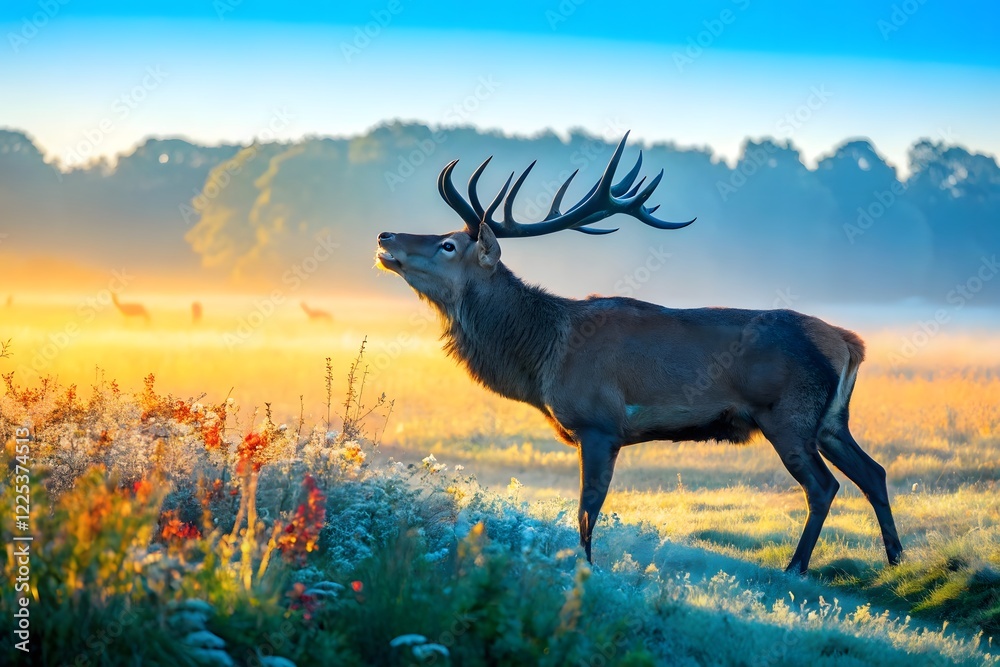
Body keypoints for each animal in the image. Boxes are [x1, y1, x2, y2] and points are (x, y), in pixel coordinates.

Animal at [374, 133, 902, 574]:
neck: (543, 357)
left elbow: (587, 511)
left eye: (448, 244)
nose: (385, 236)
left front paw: (587, 569)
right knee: (872, 473)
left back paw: (796, 567)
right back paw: (896, 560)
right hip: (830, 420)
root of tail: (849, 343)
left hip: (788, 415)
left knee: (824, 486)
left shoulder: (599, 424)